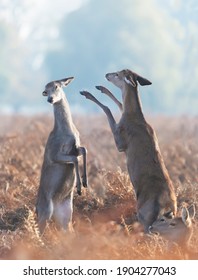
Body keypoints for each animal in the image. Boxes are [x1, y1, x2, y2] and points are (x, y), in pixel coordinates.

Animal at [36, 76, 87, 234]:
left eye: (57, 86)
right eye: (45, 91)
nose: (50, 99)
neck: (67, 131)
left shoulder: (76, 147)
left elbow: (83, 151)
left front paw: (85, 182)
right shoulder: (54, 153)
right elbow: (74, 159)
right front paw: (79, 187)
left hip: (66, 213)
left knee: (67, 230)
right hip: (46, 210)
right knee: (39, 230)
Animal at [79, 69, 177, 232]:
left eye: (118, 74)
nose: (107, 74)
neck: (134, 117)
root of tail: (168, 208)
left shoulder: (121, 141)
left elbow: (108, 109)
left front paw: (87, 93)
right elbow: (120, 104)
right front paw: (101, 88)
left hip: (144, 214)